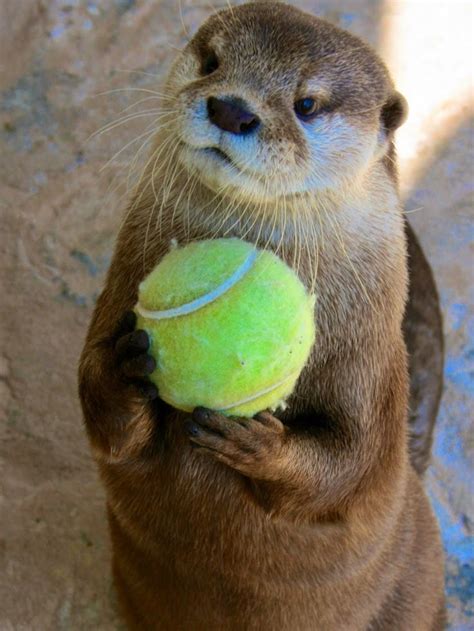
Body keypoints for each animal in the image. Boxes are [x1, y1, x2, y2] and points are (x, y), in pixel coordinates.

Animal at [78, 2, 444, 628]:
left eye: (308, 104)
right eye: (211, 60)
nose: (232, 108)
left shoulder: (374, 368)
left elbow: (354, 464)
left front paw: (260, 446)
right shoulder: (117, 291)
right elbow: (97, 402)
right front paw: (128, 369)